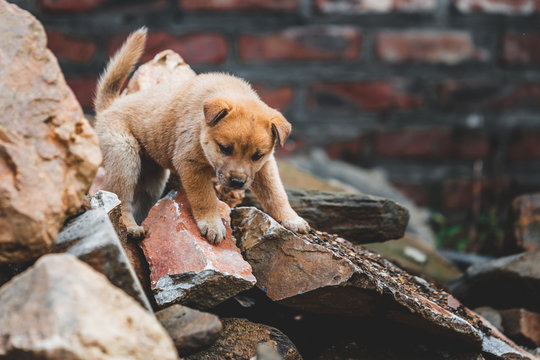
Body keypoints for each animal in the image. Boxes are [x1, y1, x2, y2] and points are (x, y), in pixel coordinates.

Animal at [95, 26, 310, 243]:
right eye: (225, 149)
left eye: (257, 156)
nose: (237, 183)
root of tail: (111, 104)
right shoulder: (191, 164)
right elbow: (205, 198)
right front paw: (212, 224)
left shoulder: (265, 166)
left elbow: (276, 194)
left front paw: (291, 219)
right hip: (124, 156)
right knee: (119, 198)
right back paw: (130, 227)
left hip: (153, 175)